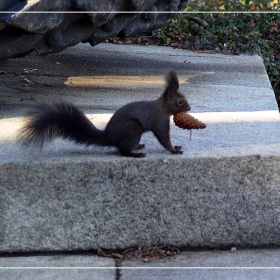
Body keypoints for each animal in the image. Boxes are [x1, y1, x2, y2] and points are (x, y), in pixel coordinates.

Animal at [19, 70, 190, 158]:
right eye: (180, 101)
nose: (188, 108)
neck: (163, 107)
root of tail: (109, 136)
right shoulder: (159, 121)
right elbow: (163, 138)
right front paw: (174, 150)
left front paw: (176, 146)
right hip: (132, 129)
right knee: (122, 151)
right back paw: (135, 154)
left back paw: (138, 147)